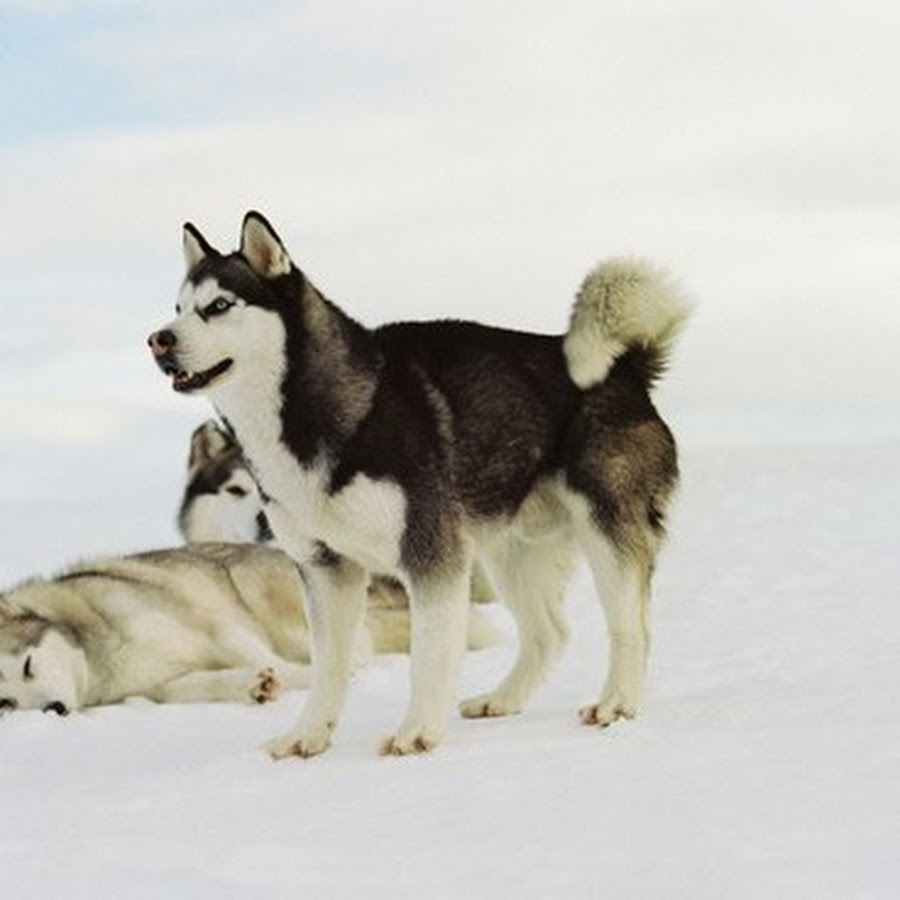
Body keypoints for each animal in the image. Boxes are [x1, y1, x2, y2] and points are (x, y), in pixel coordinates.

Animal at [151, 214, 692, 756]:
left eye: (220, 306)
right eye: (178, 308)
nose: (159, 340)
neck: (325, 411)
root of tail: (628, 370)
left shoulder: (431, 556)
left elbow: (427, 659)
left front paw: (416, 733)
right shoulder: (325, 569)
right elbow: (329, 667)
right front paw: (307, 736)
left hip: (605, 534)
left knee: (632, 627)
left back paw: (616, 704)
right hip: (508, 552)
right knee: (550, 633)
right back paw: (502, 700)